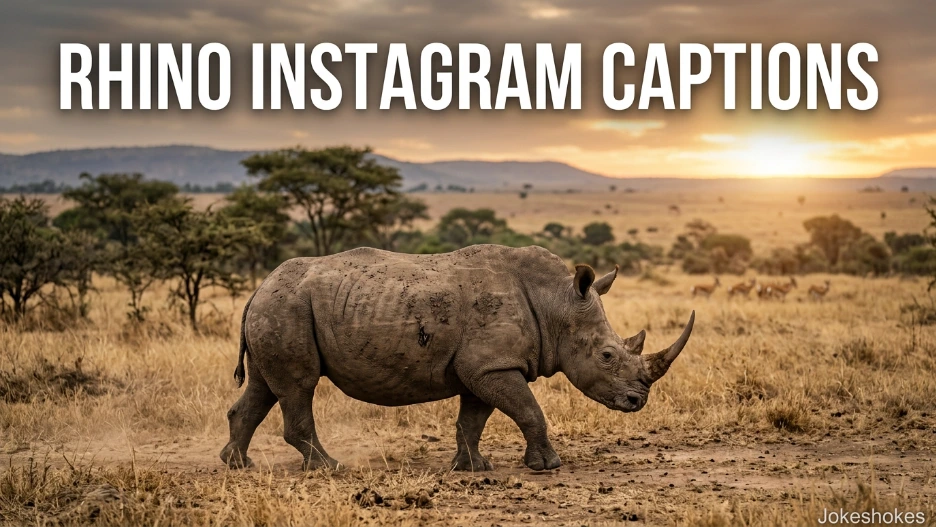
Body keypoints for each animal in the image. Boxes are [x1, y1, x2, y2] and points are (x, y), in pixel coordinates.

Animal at [220, 245, 694, 472]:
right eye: (608, 355)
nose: (637, 401)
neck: (556, 302)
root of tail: (258, 287)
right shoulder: (493, 364)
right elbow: (529, 411)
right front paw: (548, 466)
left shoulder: (485, 366)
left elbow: (473, 419)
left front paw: (472, 468)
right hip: (286, 308)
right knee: (298, 387)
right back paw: (328, 468)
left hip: (279, 308)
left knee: (265, 387)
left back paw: (238, 465)